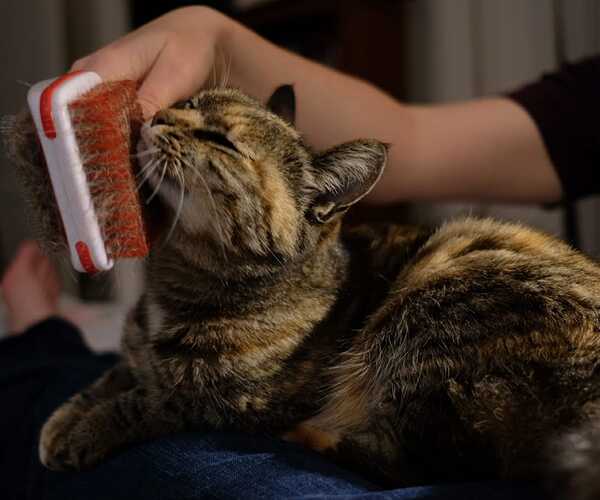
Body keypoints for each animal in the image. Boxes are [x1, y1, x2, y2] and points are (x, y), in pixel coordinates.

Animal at [39, 85, 600, 496]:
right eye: (190, 103)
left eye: (222, 141)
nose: (157, 116)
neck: (177, 284)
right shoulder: (138, 355)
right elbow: (114, 376)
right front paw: (62, 419)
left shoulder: (229, 403)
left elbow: (148, 402)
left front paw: (82, 432)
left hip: (435, 298)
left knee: (429, 461)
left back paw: (318, 436)